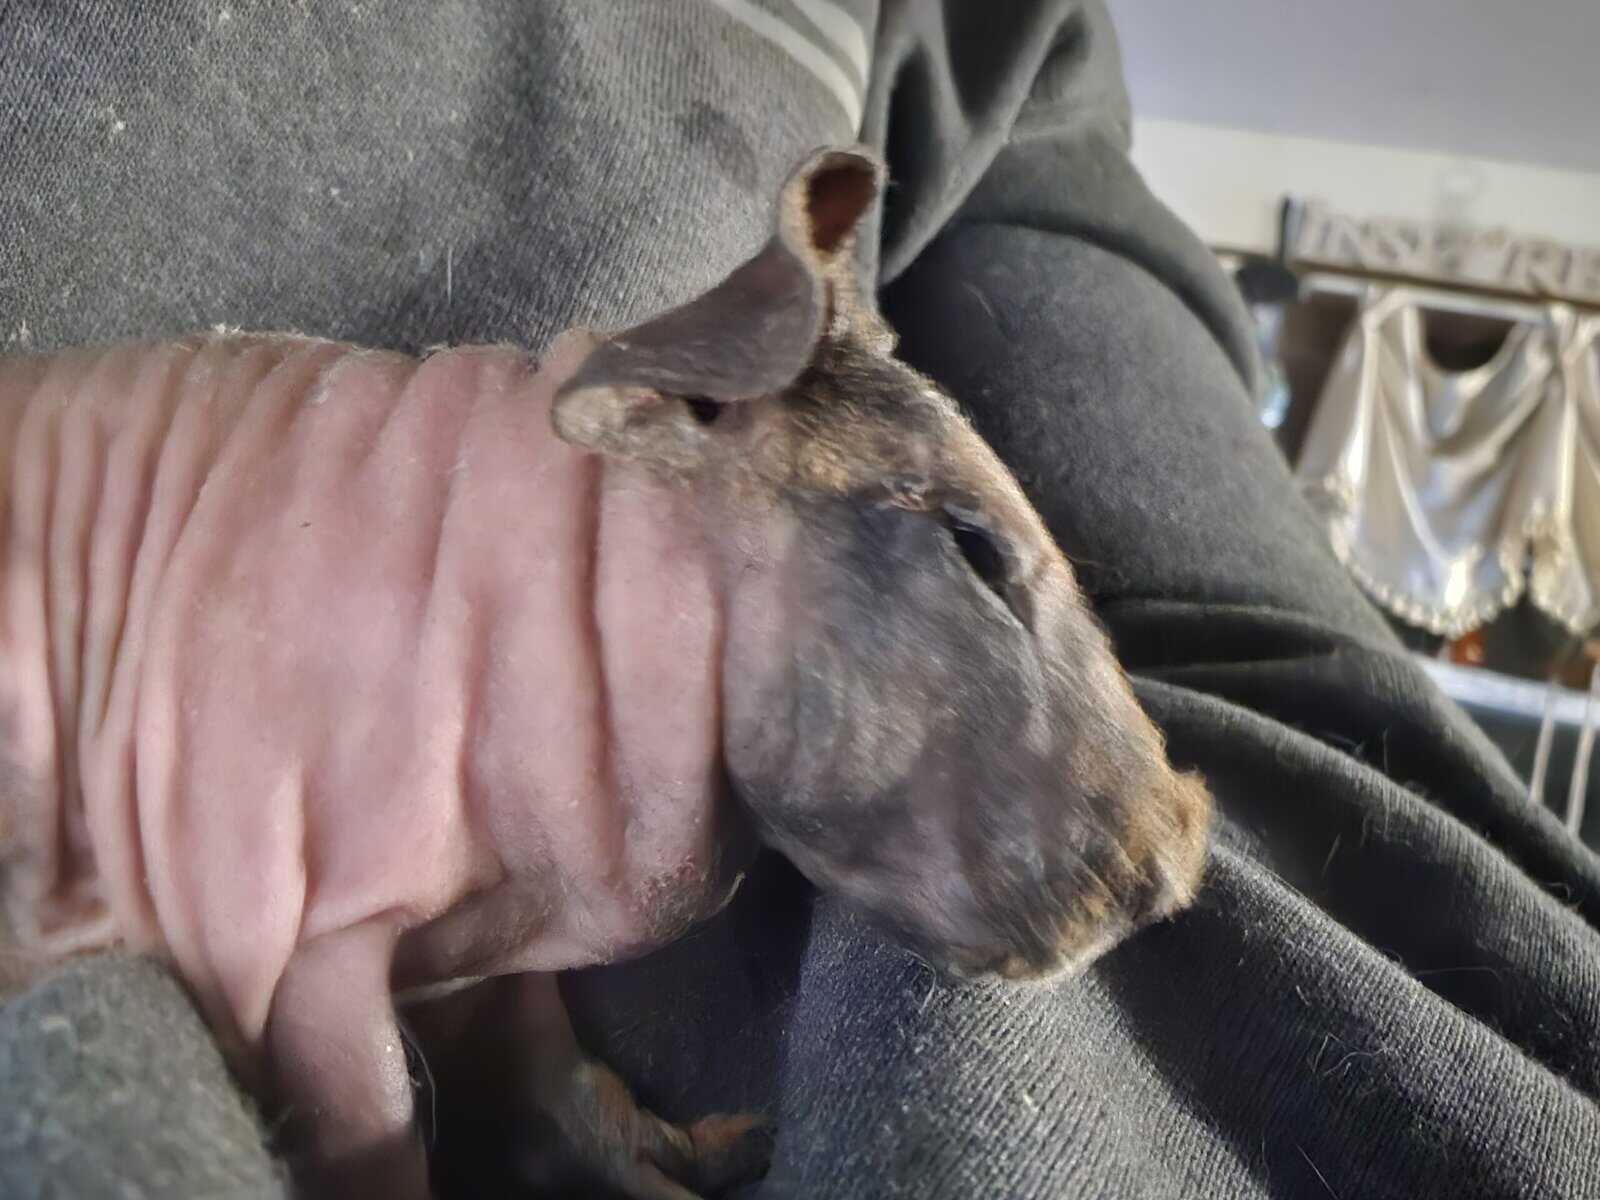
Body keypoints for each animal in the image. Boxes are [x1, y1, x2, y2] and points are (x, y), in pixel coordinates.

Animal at [0, 146, 1211, 1198]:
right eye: (975, 546)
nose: (1175, 866)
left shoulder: (480, 932)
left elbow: (554, 1082)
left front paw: (688, 1150)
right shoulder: (306, 936)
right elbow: (378, 1136)